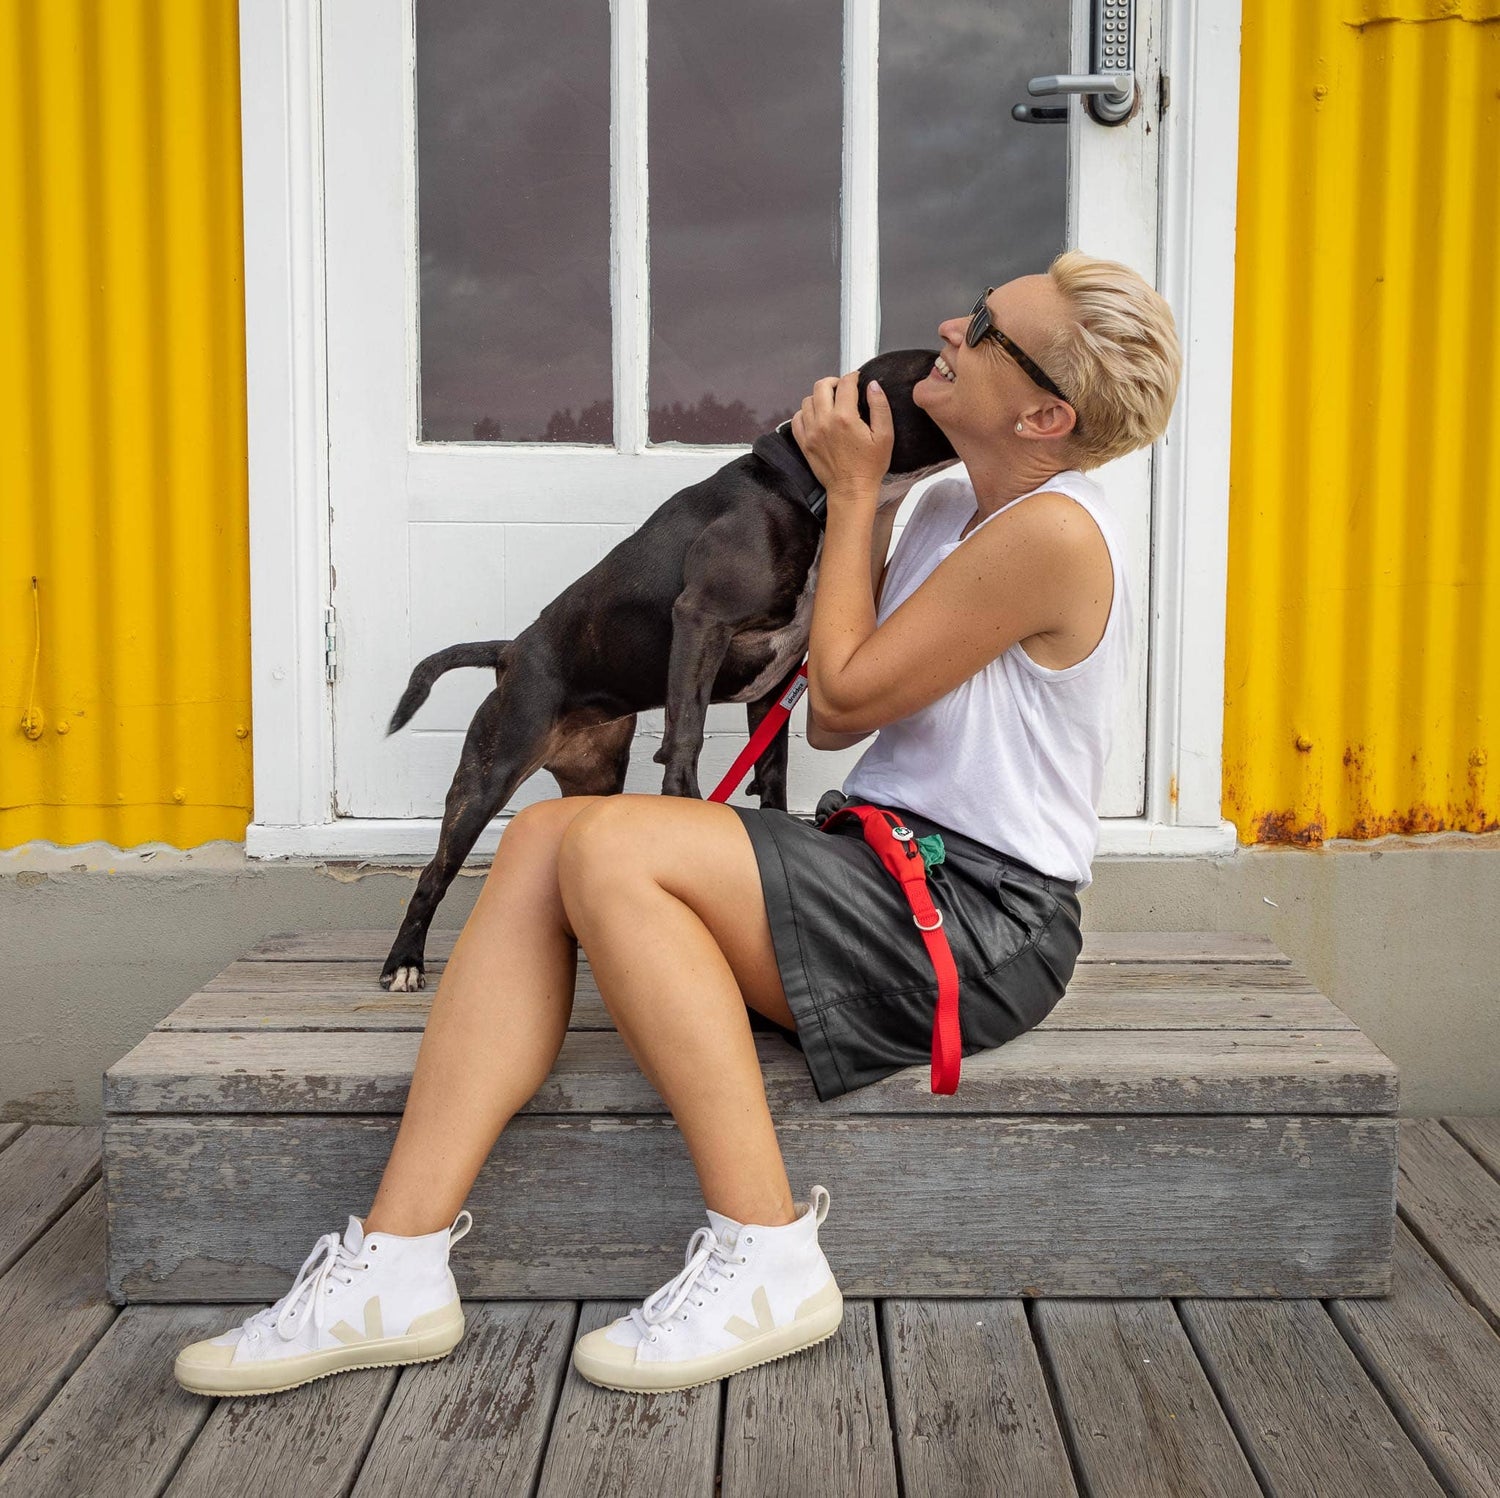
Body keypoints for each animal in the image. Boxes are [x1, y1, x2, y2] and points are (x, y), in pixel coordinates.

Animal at [381, 344, 954, 989]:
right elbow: (687, 737)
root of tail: (510, 652)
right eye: (935, 367)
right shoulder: (702, 619)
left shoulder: (778, 682)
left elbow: (773, 771)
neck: (805, 490)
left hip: (594, 779)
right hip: (487, 777)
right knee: (434, 873)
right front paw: (689, 808)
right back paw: (404, 961)